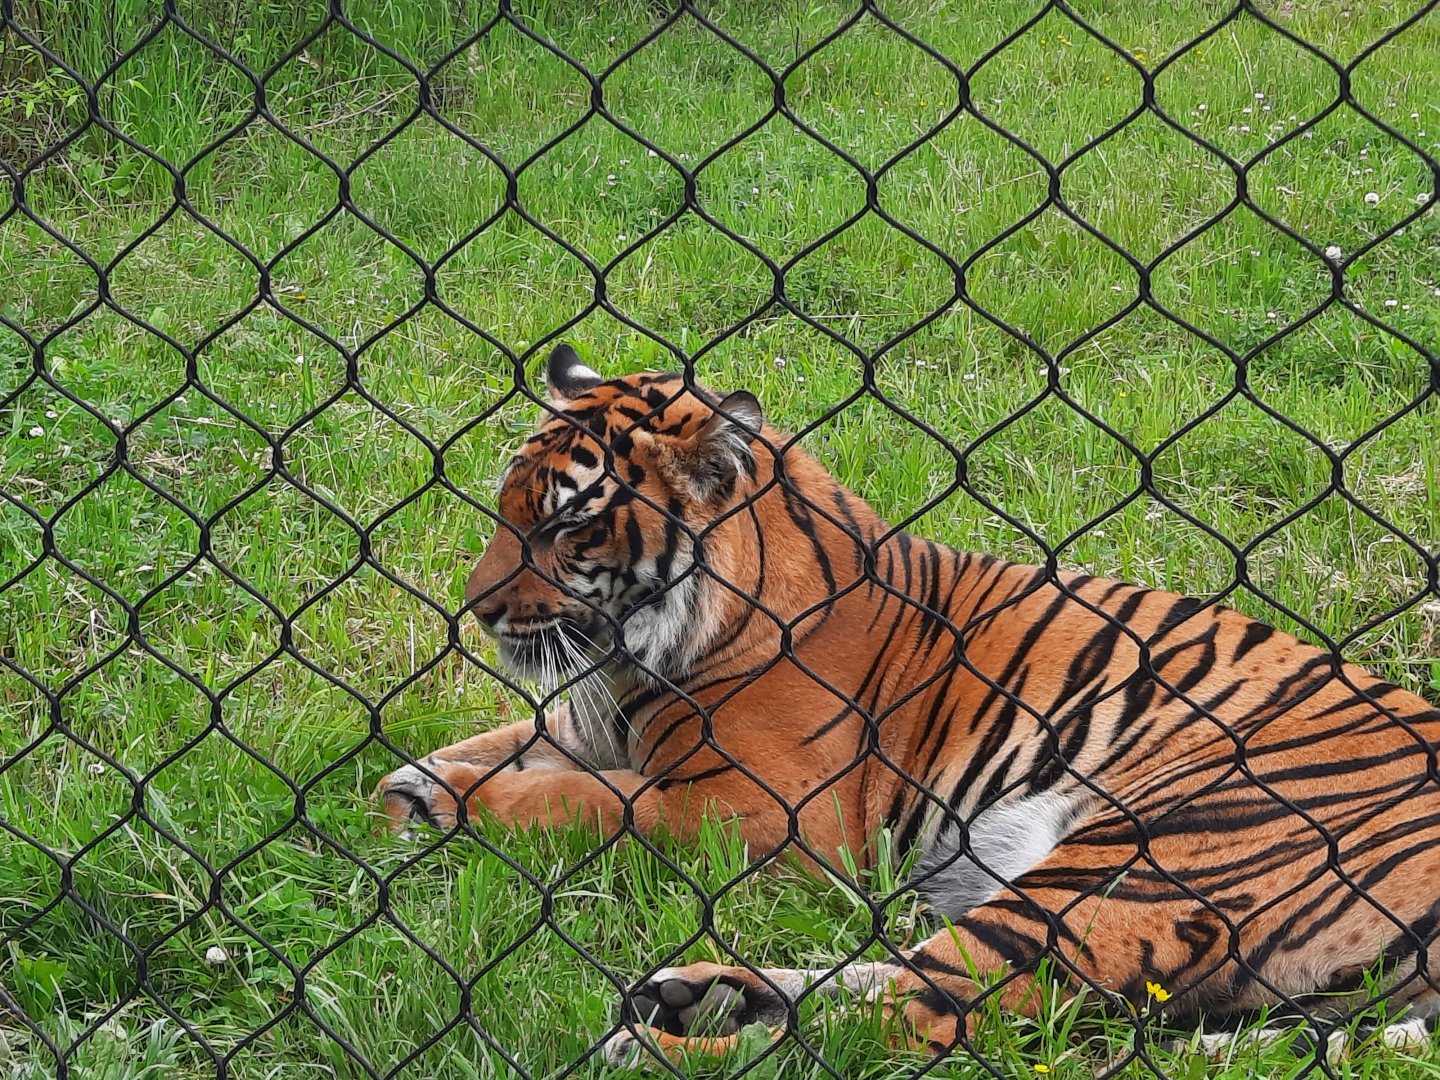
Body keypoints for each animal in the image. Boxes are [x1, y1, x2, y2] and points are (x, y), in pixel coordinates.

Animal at [377, 343, 1440, 1068]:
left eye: (570, 526)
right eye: (507, 506)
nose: (476, 607)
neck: (646, 655)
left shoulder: (760, 816)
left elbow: (589, 802)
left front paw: (433, 801)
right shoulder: (589, 722)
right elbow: (515, 739)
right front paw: (413, 777)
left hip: (1147, 857)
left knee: (917, 1018)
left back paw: (663, 1046)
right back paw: (697, 995)